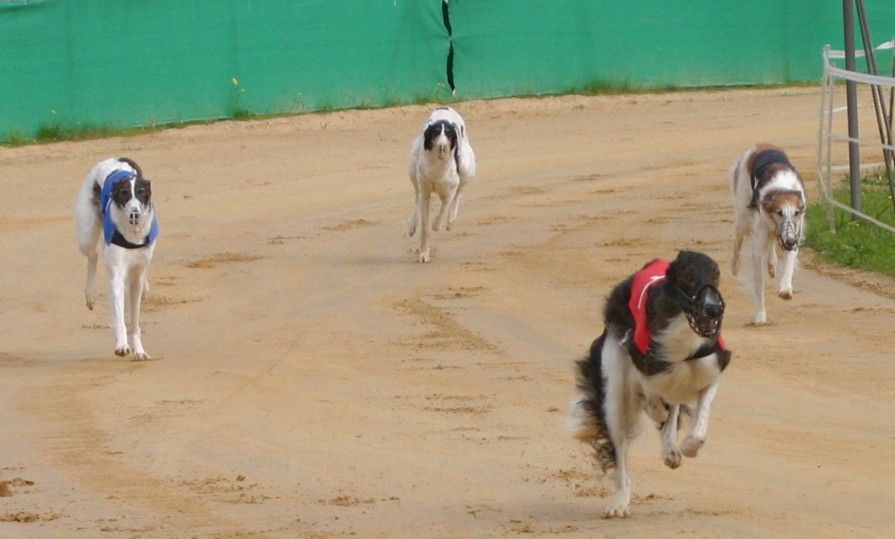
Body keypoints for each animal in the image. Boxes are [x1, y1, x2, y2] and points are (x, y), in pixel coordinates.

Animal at [75, 157, 159, 360]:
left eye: (141, 192)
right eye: (124, 193)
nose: (135, 214)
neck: (133, 233)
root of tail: (114, 159)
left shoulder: (135, 277)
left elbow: (134, 321)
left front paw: (139, 350)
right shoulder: (118, 274)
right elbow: (120, 317)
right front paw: (122, 344)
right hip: (87, 236)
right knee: (93, 257)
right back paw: (90, 296)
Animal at [407, 106, 476, 262]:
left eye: (449, 134)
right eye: (436, 132)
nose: (442, 146)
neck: (438, 165)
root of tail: (446, 107)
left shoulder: (449, 192)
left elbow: (444, 209)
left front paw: (437, 224)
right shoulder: (425, 192)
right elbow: (424, 227)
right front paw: (424, 253)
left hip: (466, 168)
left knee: (459, 192)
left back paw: (451, 219)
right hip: (413, 167)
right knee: (416, 196)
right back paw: (412, 225)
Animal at [568, 251, 732, 518]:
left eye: (716, 274)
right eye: (688, 276)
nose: (713, 310)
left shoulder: (711, 371)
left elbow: (698, 428)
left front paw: (687, 447)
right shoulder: (642, 363)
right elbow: (653, 397)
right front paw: (657, 411)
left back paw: (670, 450)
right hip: (614, 388)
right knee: (621, 453)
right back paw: (619, 503)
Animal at [729, 144, 806, 325]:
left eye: (796, 213)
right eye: (779, 212)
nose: (790, 242)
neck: (782, 187)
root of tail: (760, 145)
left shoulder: (793, 234)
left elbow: (788, 265)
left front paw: (785, 289)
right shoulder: (759, 244)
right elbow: (759, 286)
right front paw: (760, 315)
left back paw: (772, 265)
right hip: (743, 216)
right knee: (738, 240)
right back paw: (735, 266)